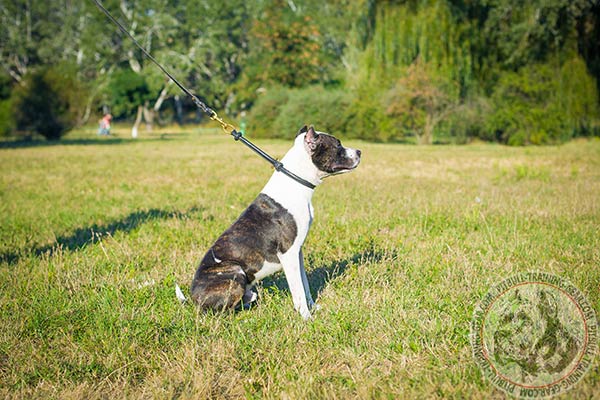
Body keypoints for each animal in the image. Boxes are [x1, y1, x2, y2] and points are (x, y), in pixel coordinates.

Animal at [190, 125, 360, 318]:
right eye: (338, 145)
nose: (359, 152)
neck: (296, 182)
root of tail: (191, 298)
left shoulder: (297, 252)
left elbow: (304, 285)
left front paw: (313, 307)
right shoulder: (288, 253)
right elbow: (297, 290)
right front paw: (306, 317)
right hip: (235, 271)